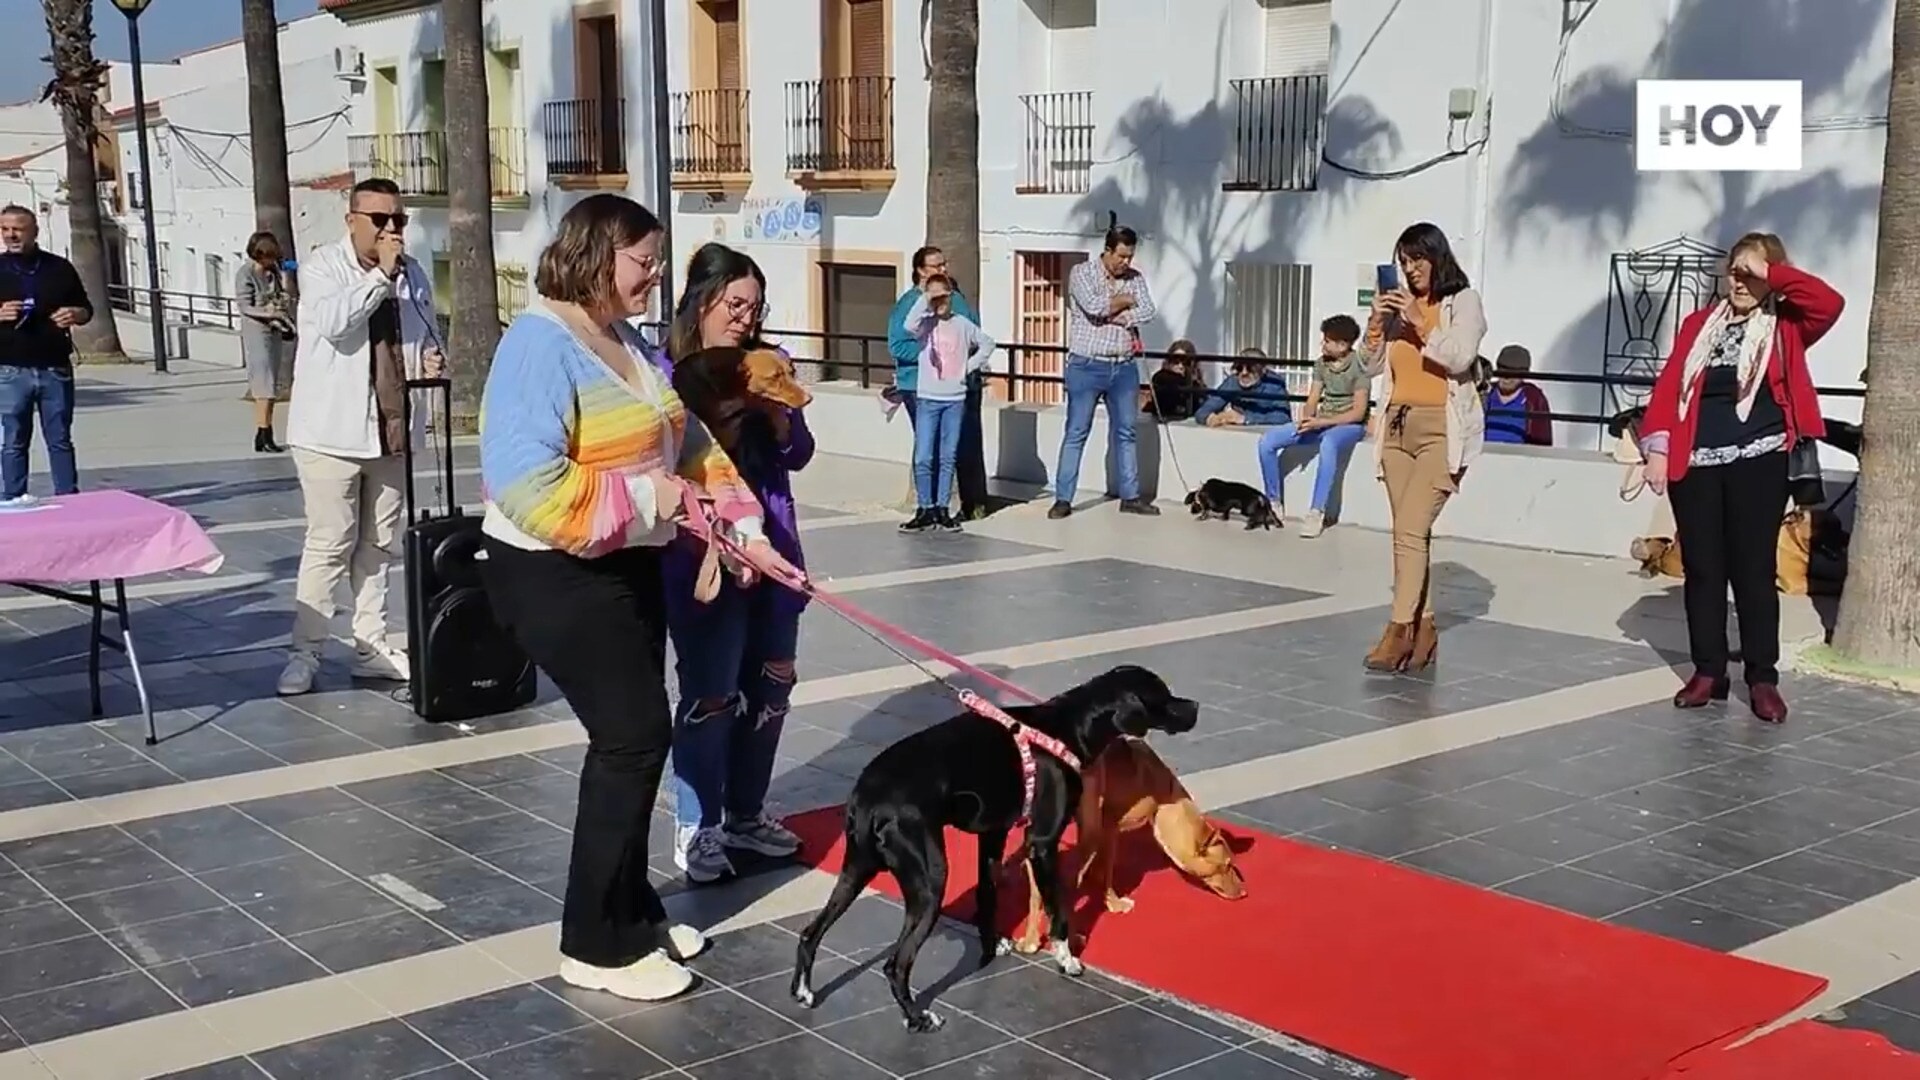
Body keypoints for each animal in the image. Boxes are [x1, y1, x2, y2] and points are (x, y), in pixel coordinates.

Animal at [787, 664, 1190, 1022]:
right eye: (1163, 696)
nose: (1195, 707)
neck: (1068, 726)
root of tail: (869, 798)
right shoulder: (1043, 842)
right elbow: (1058, 908)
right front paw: (1066, 958)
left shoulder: (992, 834)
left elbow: (987, 893)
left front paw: (991, 943)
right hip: (930, 881)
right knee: (895, 964)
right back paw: (917, 1018)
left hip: (856, 868)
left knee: (810, 933)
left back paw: (803, 991)